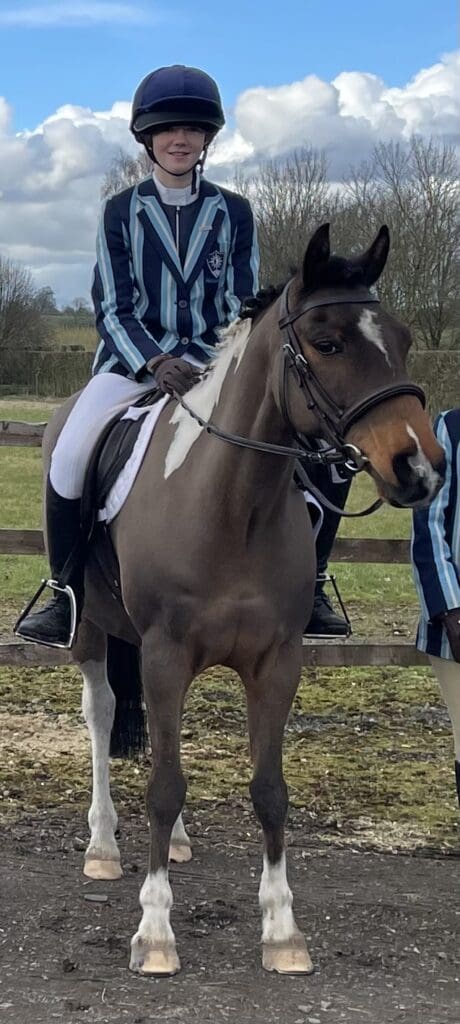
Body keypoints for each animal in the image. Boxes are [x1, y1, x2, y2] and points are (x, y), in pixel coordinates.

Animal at [44, 224, 442, 974]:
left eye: (403, 338)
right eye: (326, 341)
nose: (420, 467)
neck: (232, 501)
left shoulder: (276, 661)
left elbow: (269, 792)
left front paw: (283, 931)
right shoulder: (165, 654)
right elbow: (163, 784)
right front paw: (155, 933)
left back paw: (174, 844)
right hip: (94, 633)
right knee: (102, 714)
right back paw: (104, 846)